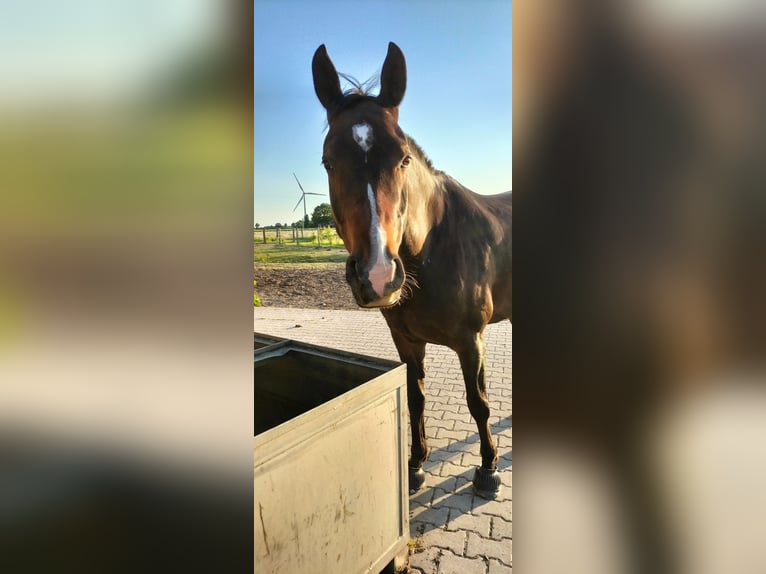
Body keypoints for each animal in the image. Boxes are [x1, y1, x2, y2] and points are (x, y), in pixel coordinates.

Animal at [308, 41, 512, 500]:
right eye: (328, 161)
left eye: (403, 159)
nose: (378, 276)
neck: (435, 246)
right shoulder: (406, 341)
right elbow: (415, 398)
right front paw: (415, 465)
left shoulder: (472, 341)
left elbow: (478, 402)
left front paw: (488, 468)